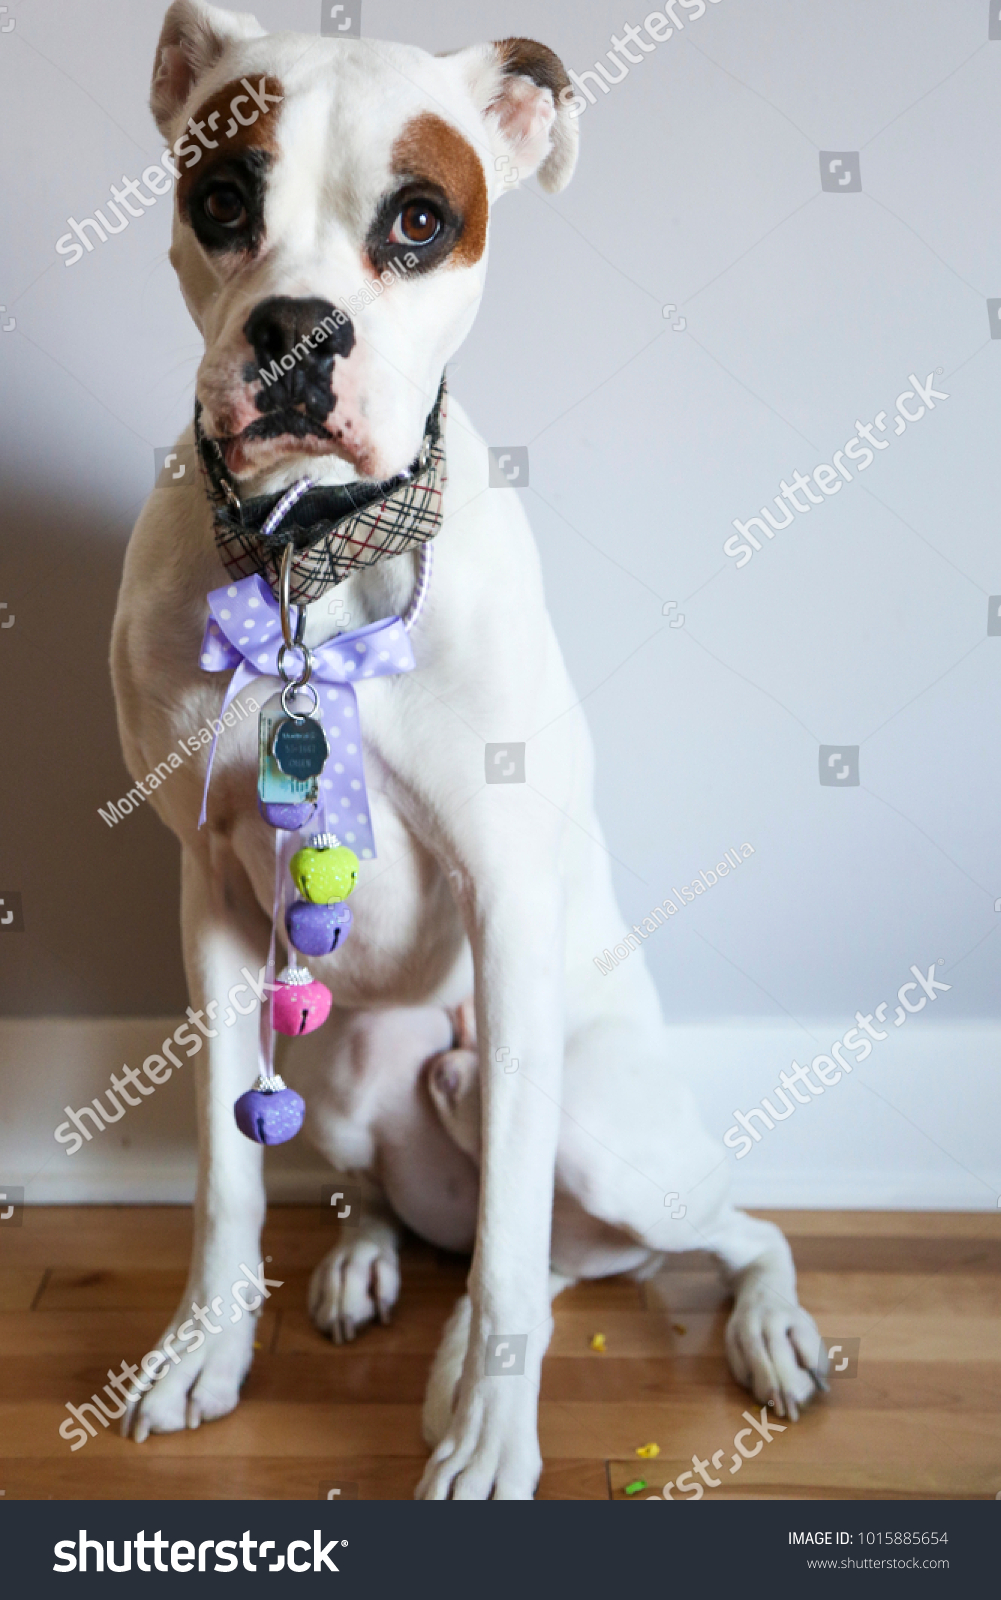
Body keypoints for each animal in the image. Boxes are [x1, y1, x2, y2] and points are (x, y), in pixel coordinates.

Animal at [111, 0, 825, 1497]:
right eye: (222, 198)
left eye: (421, 220)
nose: (296, 331)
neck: (314, 560)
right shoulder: (211, 899)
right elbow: (224, 1177)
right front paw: (207, 1347)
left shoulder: (502, 900)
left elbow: (503, 1247)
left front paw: (492, 1436)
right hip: (326, 1068)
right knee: (498, 1235)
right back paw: (369, 1270)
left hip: (590, 1115)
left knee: (680, 1235)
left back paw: (755, 1331)